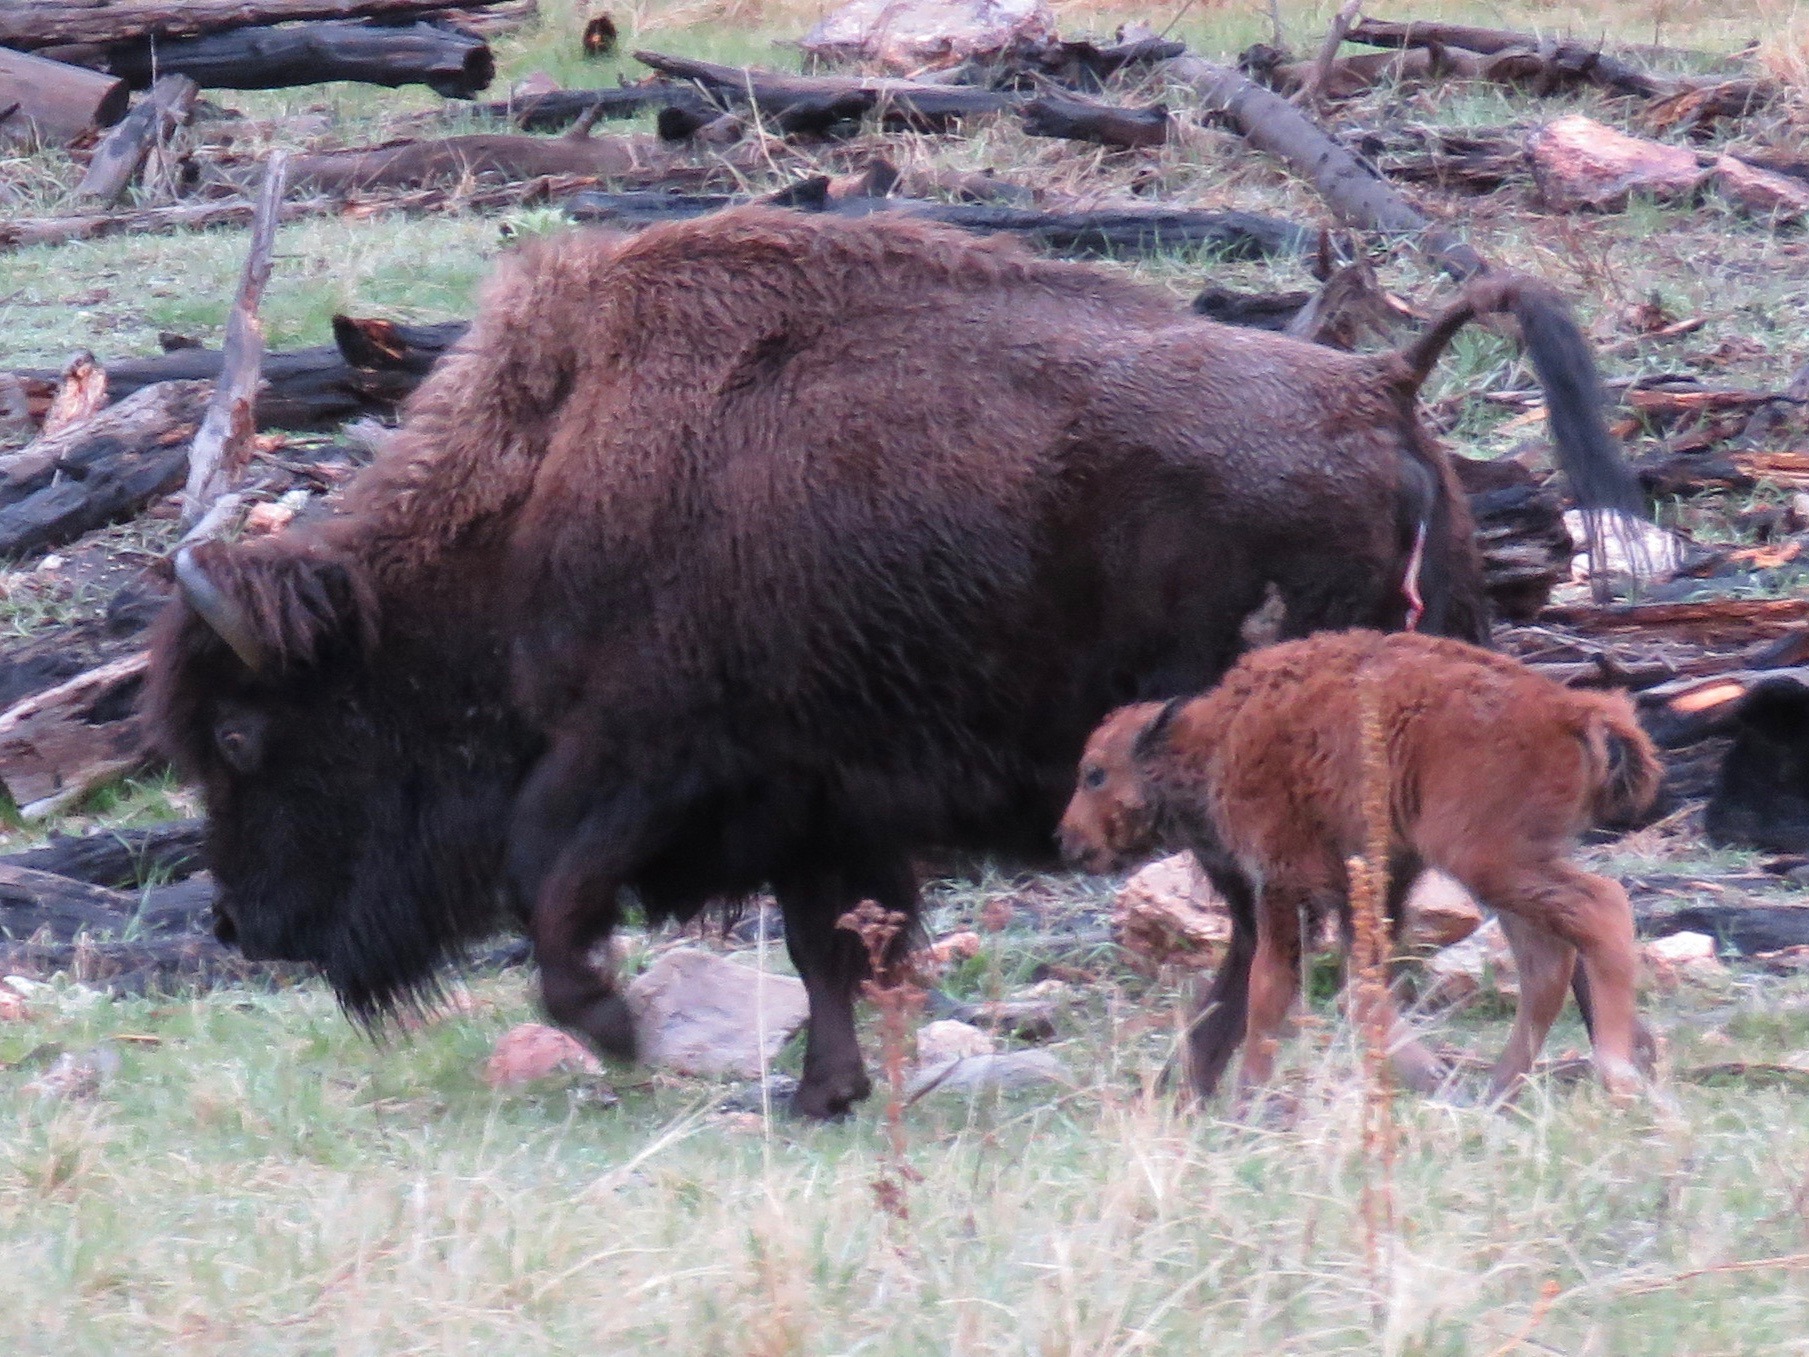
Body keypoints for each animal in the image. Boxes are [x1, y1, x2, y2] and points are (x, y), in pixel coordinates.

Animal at [148, 208, 1643, 1118]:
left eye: (243, 734)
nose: (242, 926)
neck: (537, 495)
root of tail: (1381, 387)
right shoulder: (817, 805)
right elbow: (828, 950)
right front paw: (822, 1092)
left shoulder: (633, 762)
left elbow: (556, 896)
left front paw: (626, 1038)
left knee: (1285, 926)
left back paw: (1203, 1070)